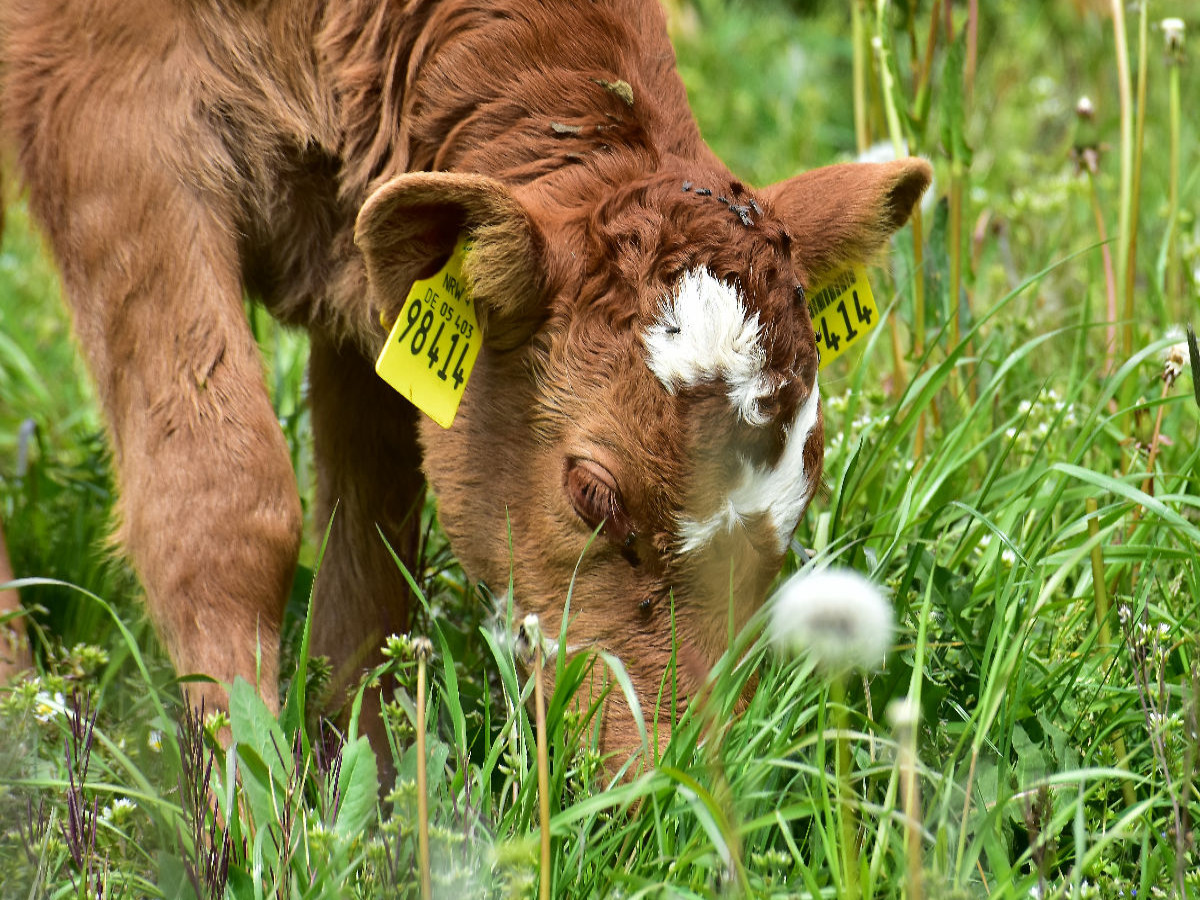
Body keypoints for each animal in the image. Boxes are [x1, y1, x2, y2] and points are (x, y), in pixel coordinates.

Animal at [0, 0, 926, 763]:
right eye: (593, 495)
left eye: (799, 505)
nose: (680, 781)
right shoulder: (113, 117)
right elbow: (221, 504)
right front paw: (251, 827)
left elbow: (371, 547)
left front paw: (368, 801)